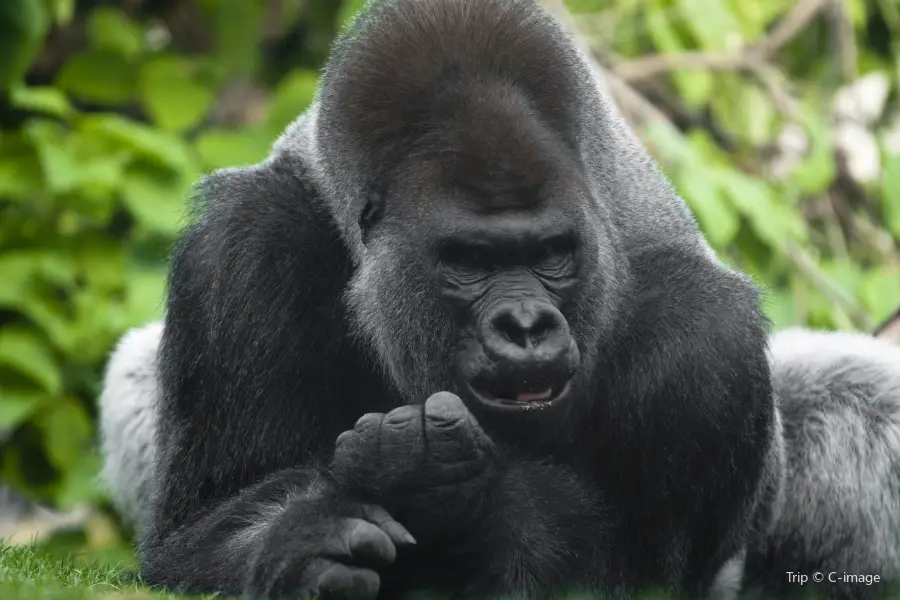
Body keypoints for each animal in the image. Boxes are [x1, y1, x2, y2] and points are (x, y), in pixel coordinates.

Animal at [95, 1, 896, 600]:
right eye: (470, 264)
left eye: (550, 257)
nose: (525, 324)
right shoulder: (237, 252)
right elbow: (194, 539)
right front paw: (305, 542)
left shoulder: (708, 342)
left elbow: (633, 576)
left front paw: (469, 507)